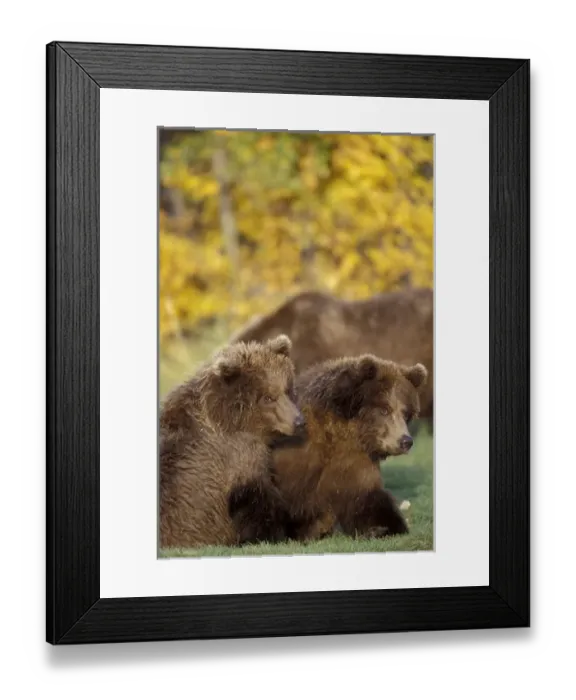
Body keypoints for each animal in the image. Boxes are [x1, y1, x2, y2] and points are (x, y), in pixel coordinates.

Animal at [269, 354, 429, 541]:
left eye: (405, 413)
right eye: (385, 409)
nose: (406, 441)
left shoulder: (355, 464)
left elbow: (368, 501)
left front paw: (382, 528)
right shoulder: (298, 460)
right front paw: (311, 526)